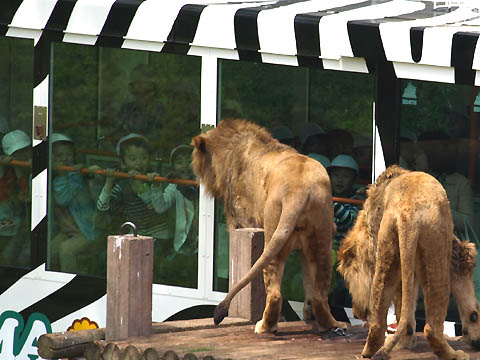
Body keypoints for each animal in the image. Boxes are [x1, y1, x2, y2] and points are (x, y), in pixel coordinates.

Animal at [189, 119, 346, 334]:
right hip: (321, 238)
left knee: (274, 291)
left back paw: (265, 326)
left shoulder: (242, 220)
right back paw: (331, 325)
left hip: (271, 231)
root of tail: (298, 190)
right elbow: (308, 283)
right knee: (319, 294)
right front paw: (308, 315)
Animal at [338, 166, 468, 360]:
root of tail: (409, 215)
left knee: (379, 320)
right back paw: (454, 354)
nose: (355, 312)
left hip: (388, 251)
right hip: (436, 252)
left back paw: (371, 350)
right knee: (431, 327)